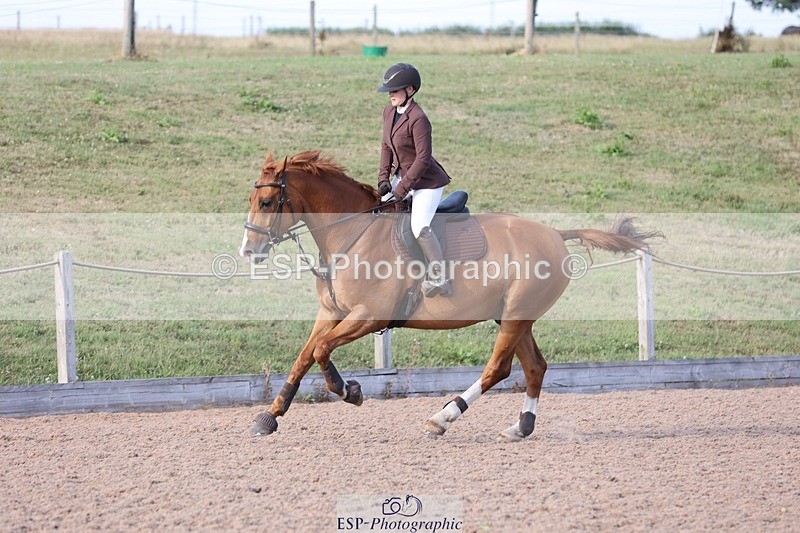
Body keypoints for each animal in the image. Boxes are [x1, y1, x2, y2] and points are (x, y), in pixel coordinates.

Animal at [239, 150, 659, 441]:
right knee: (534, 367)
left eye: (266, 203)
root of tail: (556, 234)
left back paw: (443, 418)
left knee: (498, 368)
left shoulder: (370, 316)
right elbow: (305, 356)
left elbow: (322, 351)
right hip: (515, 316)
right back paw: (520, 427)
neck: (353, 234)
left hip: (516, 316)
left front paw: (350, 391)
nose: (248, 251)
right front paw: (270, 416)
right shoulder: (330, 312)